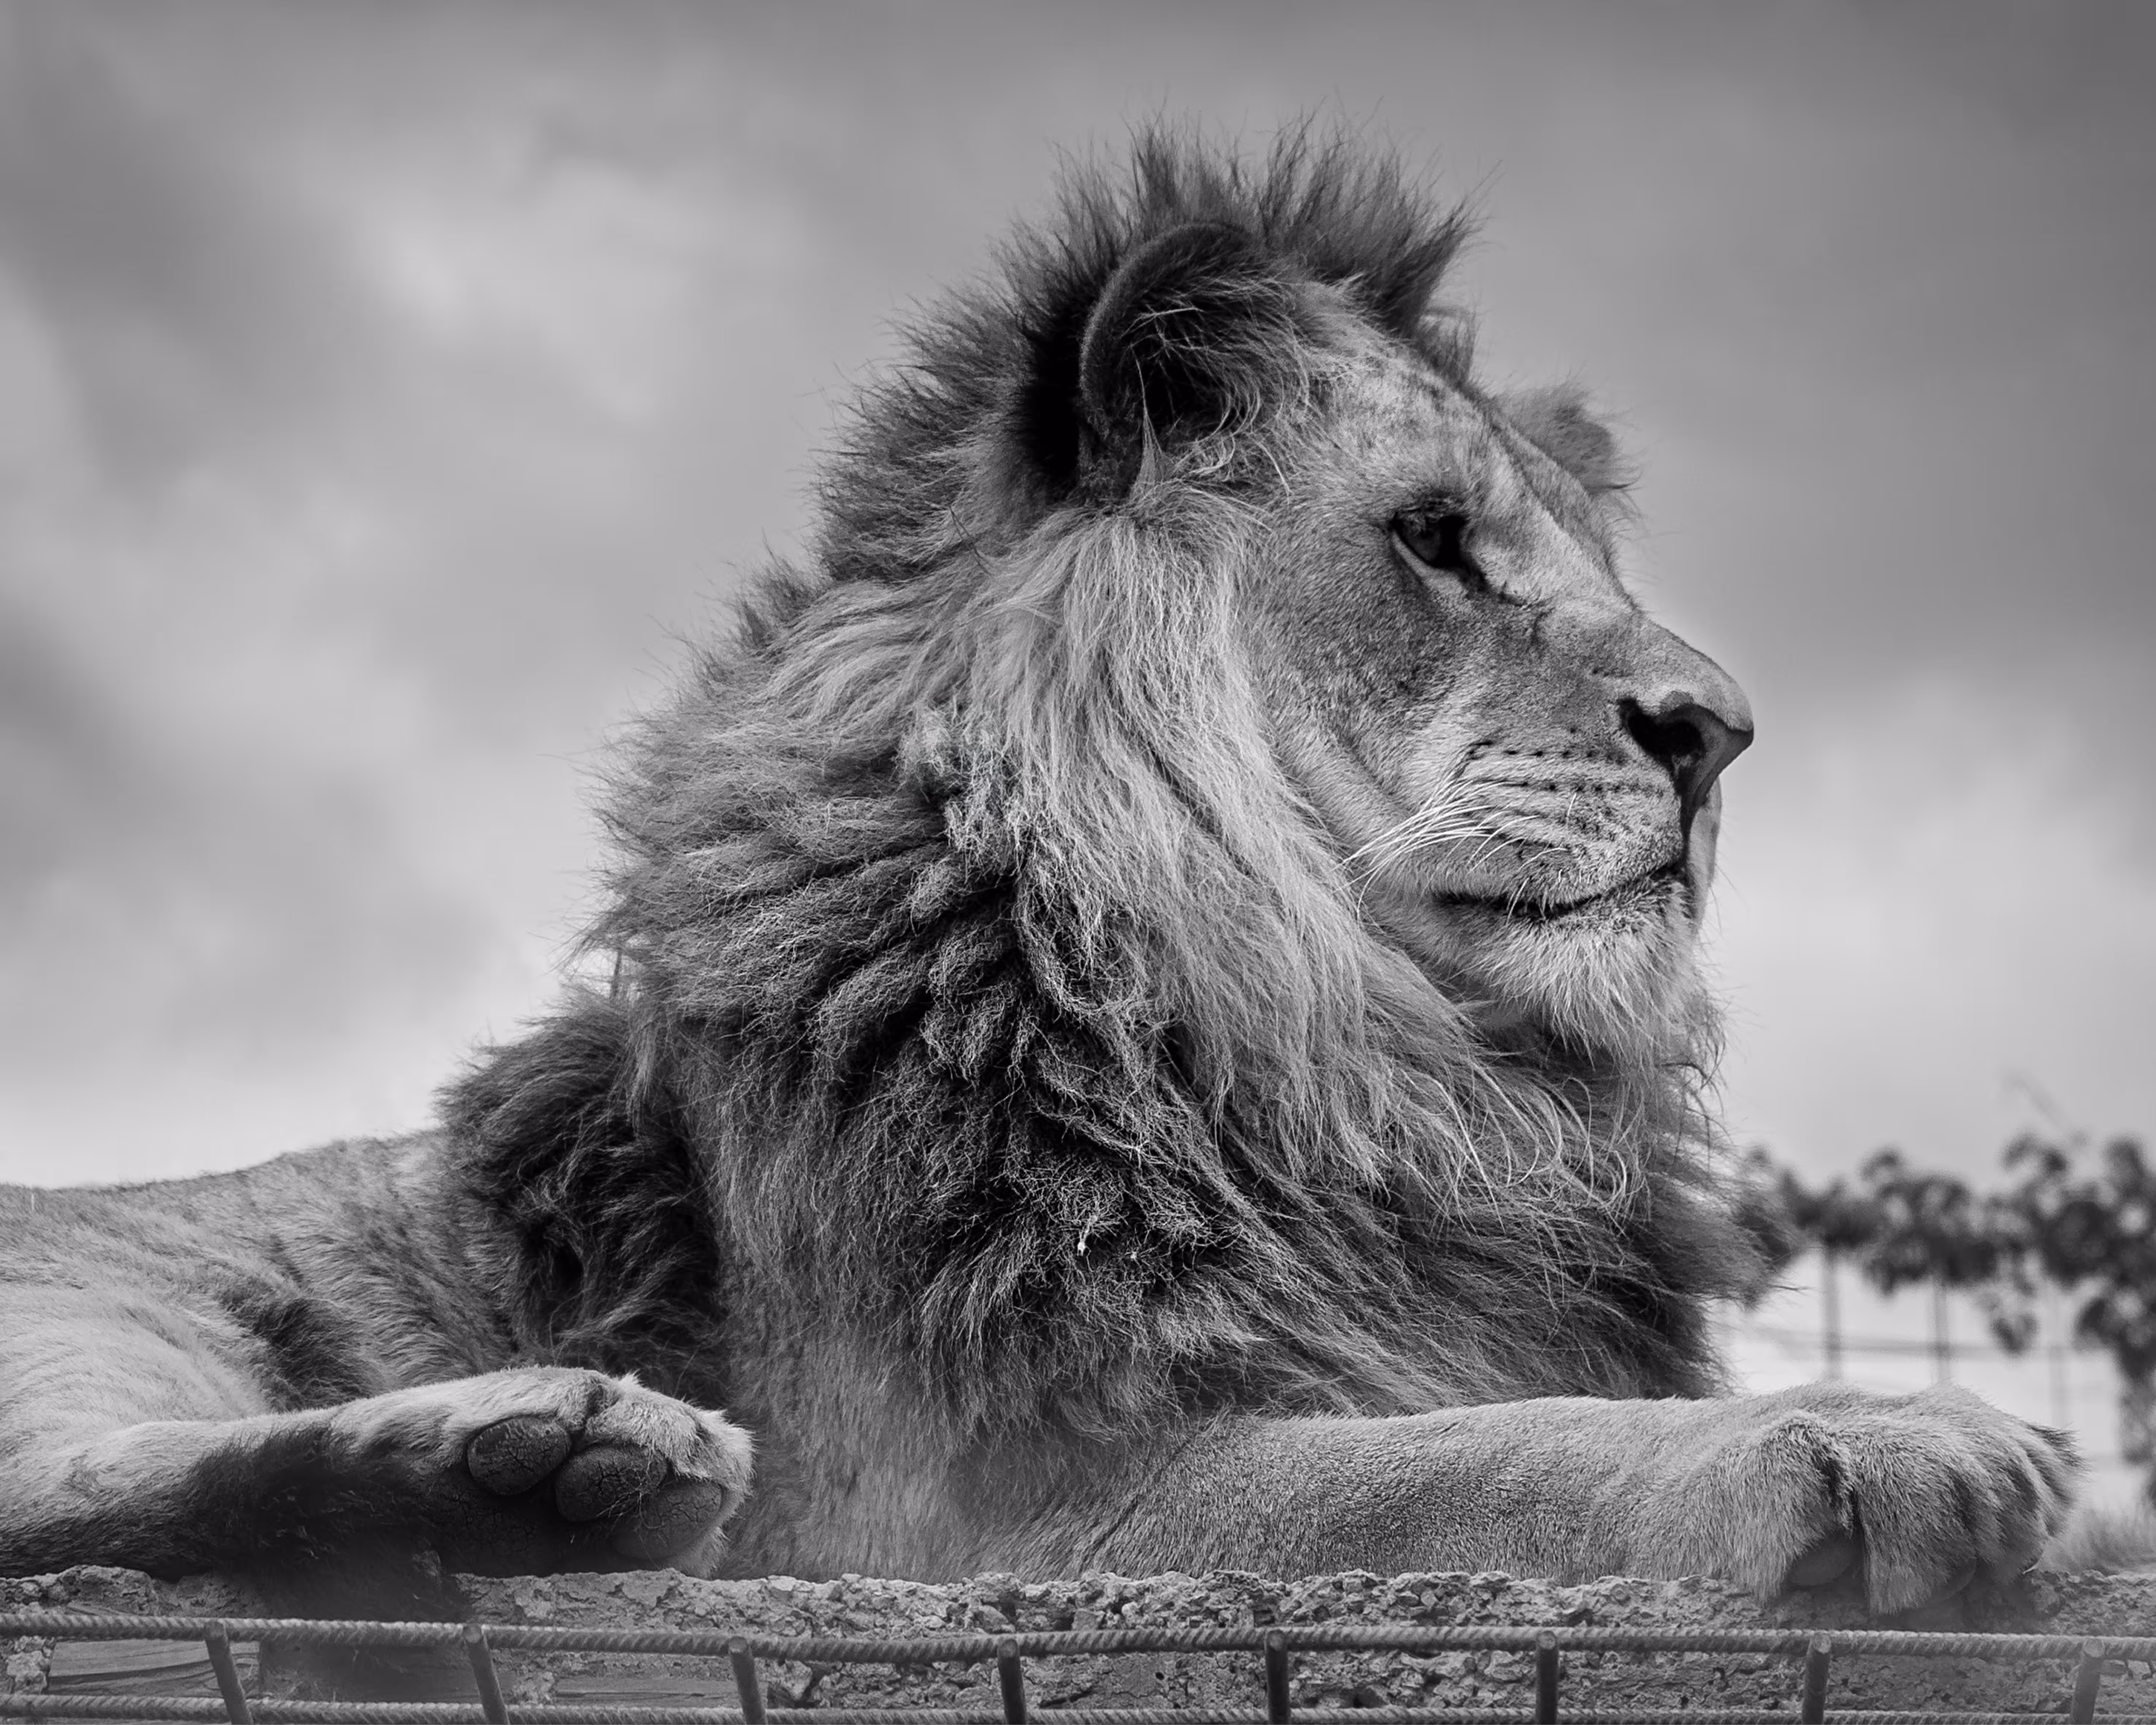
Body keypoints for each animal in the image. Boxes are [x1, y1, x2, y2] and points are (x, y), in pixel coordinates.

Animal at [0, 129, 2075, 1617]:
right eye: (1431, 540)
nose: (1717, 732)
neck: (1367, 1067)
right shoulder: (1010, 1509)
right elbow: (1492, 1450)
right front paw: (1884, 1434)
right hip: (109, 1309)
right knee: (73, 1505)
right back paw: (536, 1447)